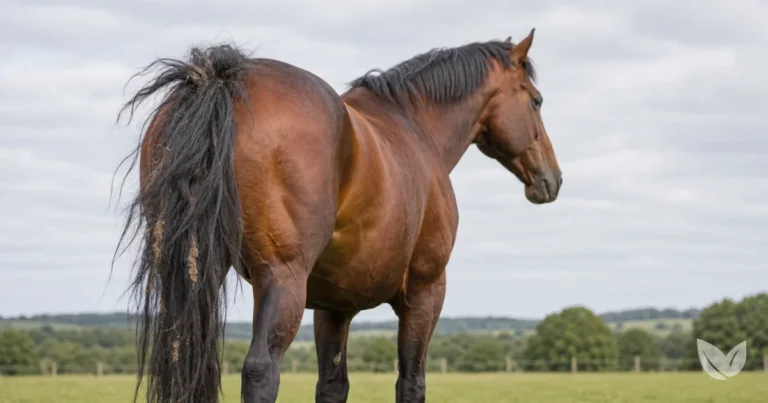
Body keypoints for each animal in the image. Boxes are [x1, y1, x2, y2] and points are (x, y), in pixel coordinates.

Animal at [114, 28, 562, 403]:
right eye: (536, 100)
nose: (552, 179)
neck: (416, 130)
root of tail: (223, 81)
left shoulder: (333, 306)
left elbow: (332, 385)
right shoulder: (426, 290)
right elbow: (411, 382)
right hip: (282, 277)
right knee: (260, 370)